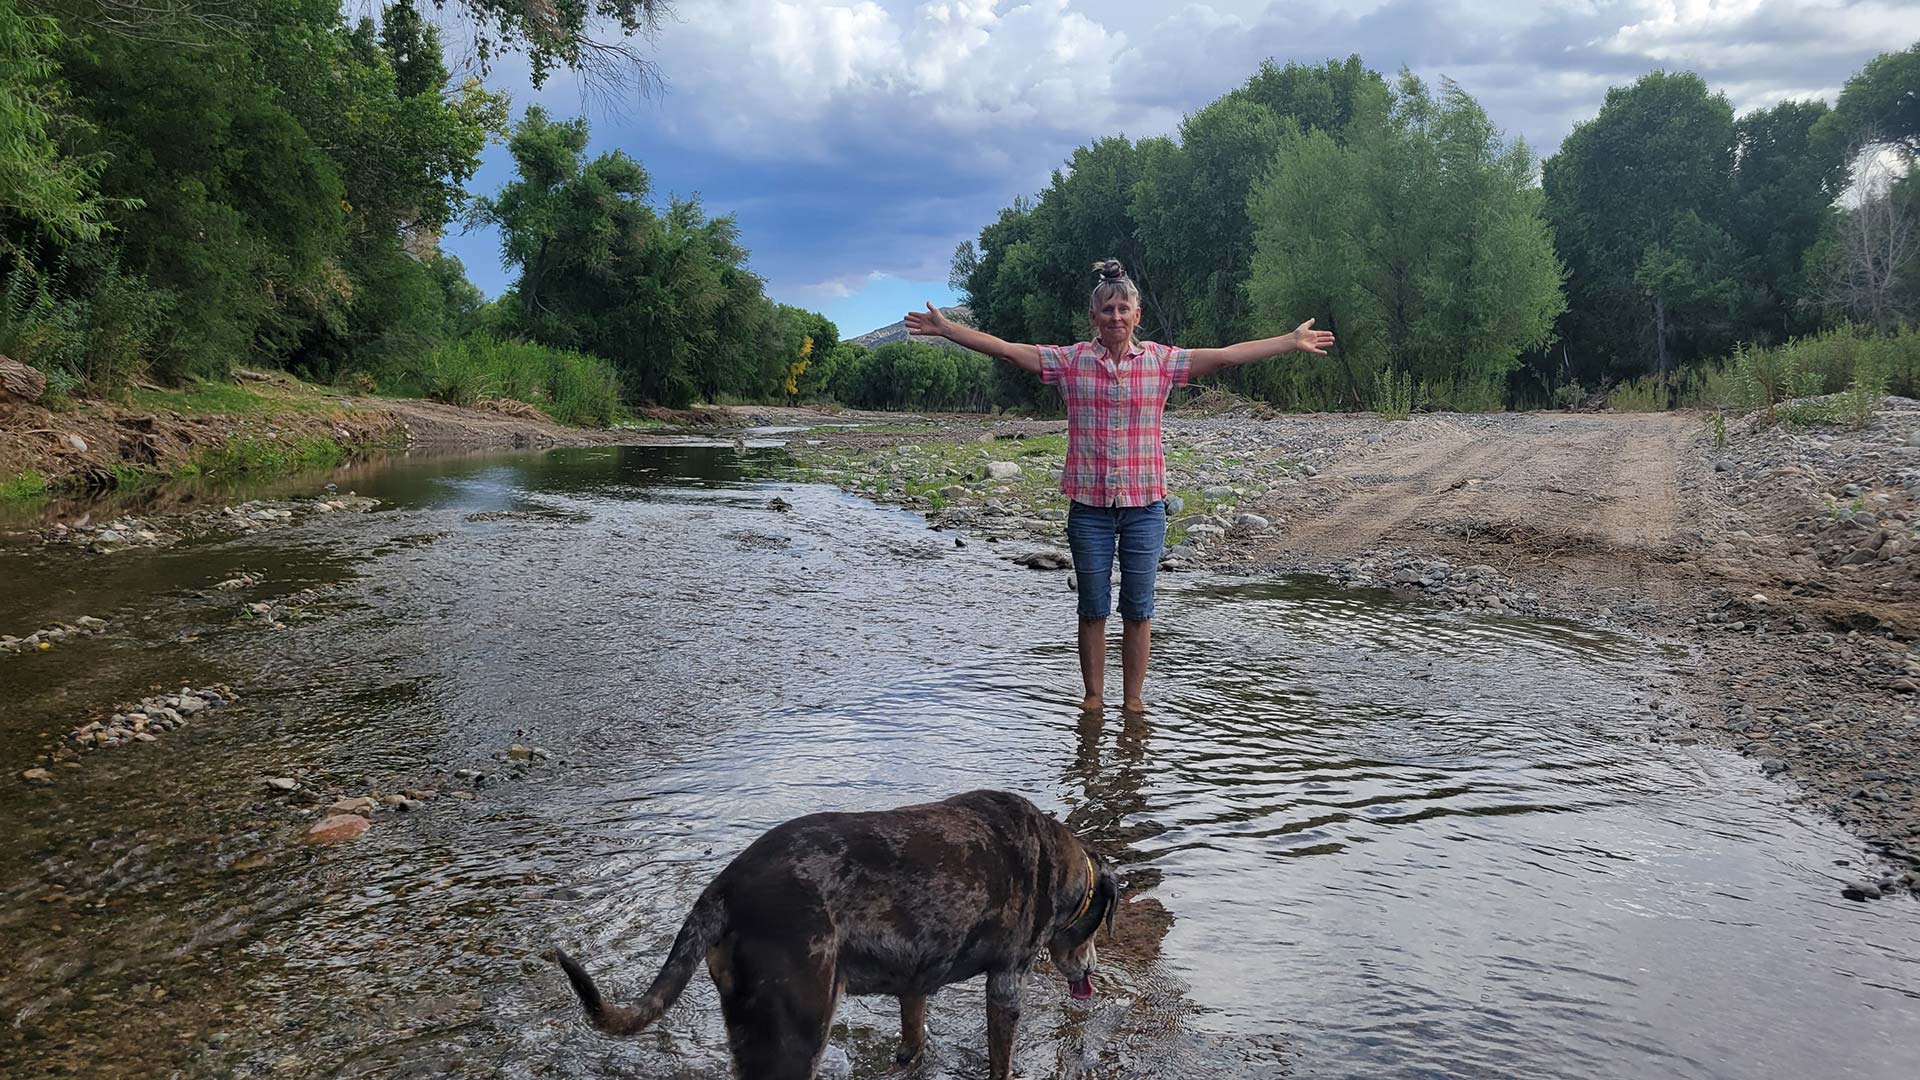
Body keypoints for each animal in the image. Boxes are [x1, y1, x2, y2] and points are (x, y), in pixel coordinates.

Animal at [549, 780, 1121, 1076]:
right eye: (1094, 929)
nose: (1091, 970)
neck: (1061, 863)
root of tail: (723, 888)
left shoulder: (915, 978)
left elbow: (913, 1033)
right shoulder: (1006, 984)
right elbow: (1001, 1059)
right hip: (797, 1030)